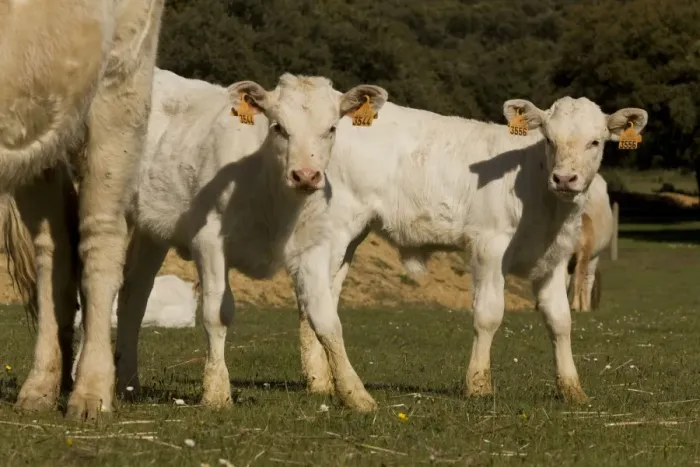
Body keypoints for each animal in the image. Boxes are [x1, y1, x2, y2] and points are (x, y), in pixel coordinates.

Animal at [1, 0, 164, 420]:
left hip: (121, 84)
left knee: (101, 238)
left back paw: (91, 392)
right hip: (39, 126)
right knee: (54, 248)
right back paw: (42, 386)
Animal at [110, 68, 388, 407]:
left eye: (331, 128)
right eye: (279, 127)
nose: (306, 175)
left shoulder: (312, 248)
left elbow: (326, 319)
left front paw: (356, 394)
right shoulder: (209, 241)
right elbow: (217, 312)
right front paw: (216, 391)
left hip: (152, 231)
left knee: (134, 295)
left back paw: (128, 383)